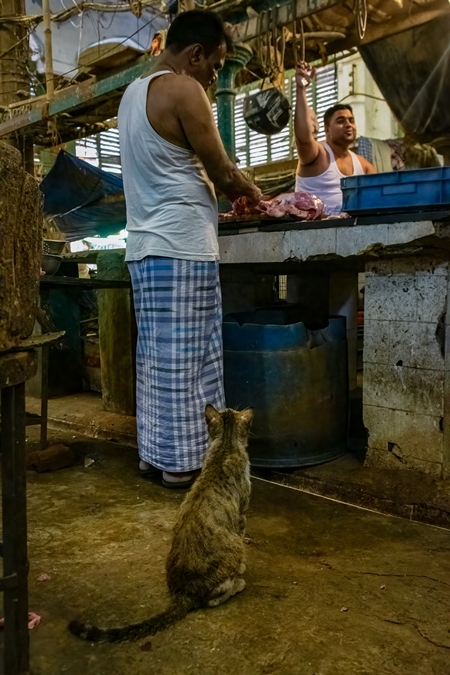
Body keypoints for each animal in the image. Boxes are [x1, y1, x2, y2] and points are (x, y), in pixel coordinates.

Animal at [69, 404, 255, 648]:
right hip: (232, 548)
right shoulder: (242, 514)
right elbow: (242, 537)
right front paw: (242, 569)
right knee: (213, 599)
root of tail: (182, 593)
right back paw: (237, 584)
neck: (225, 446)